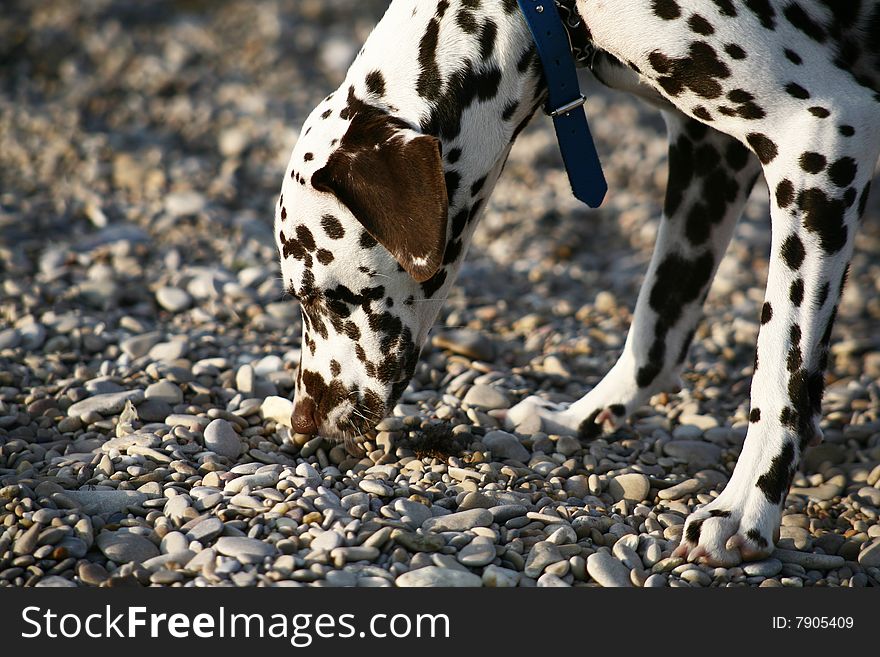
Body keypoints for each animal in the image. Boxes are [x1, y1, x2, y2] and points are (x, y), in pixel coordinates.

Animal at [278, 0, 880, 564]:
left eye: (322, 296)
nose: (302, 421)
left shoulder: (820, 139)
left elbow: (781, 369)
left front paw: (746, 506)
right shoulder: (711, 153)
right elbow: (656, 326)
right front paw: (583, 418)